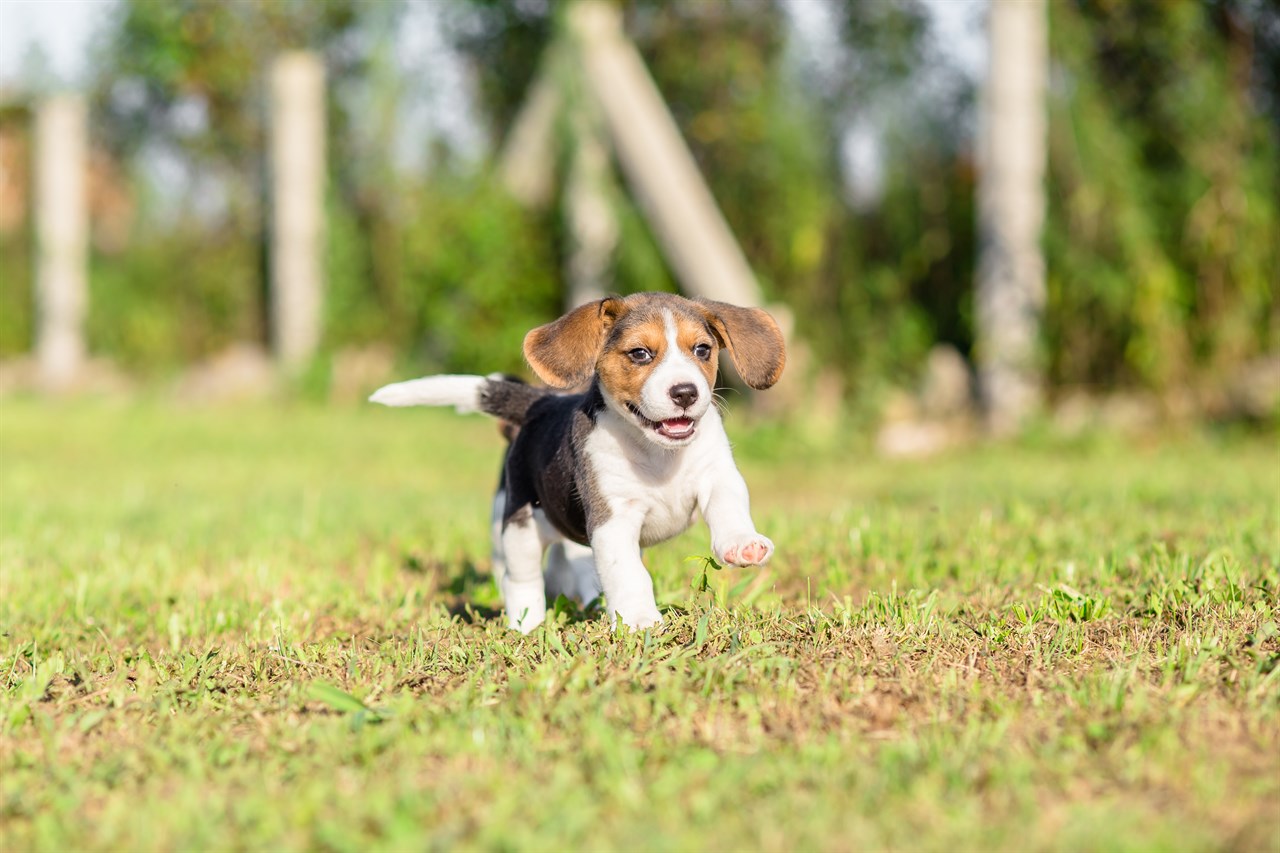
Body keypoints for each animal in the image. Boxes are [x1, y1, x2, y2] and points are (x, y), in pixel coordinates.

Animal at [371, 292, 783, 630]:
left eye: (701, 350)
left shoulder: (717, 476)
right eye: (640, 354)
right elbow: (628, 574)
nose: (685, 392)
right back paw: (527, 627)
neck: (657, 452)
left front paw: (742, 544)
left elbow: (729, 509)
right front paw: (639, 620)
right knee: (520, 580)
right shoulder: (612, 519)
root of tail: (540, 403)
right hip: (520, 526)